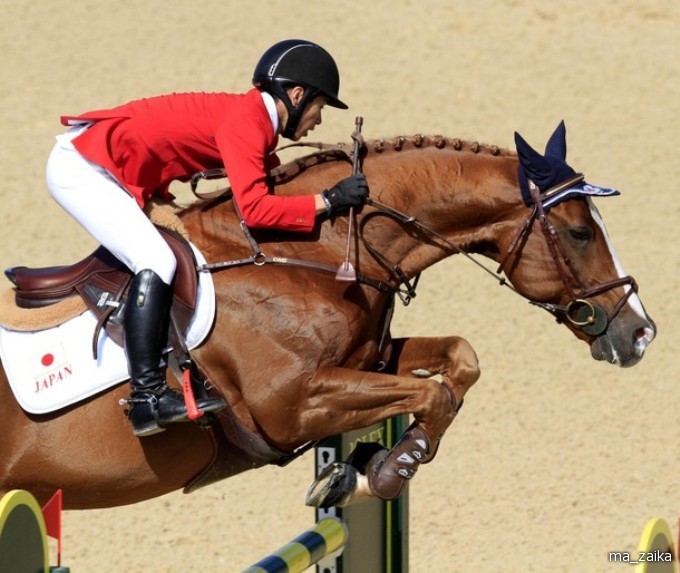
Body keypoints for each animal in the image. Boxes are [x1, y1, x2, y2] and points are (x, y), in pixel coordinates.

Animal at [0, 122, 656, 510]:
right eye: (579, 232)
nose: (640, 332)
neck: (314, 249)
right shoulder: (290, 406)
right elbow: (434, 394)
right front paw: (388, 471)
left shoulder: (369, 360)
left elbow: (459, 361)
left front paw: (372, 464)